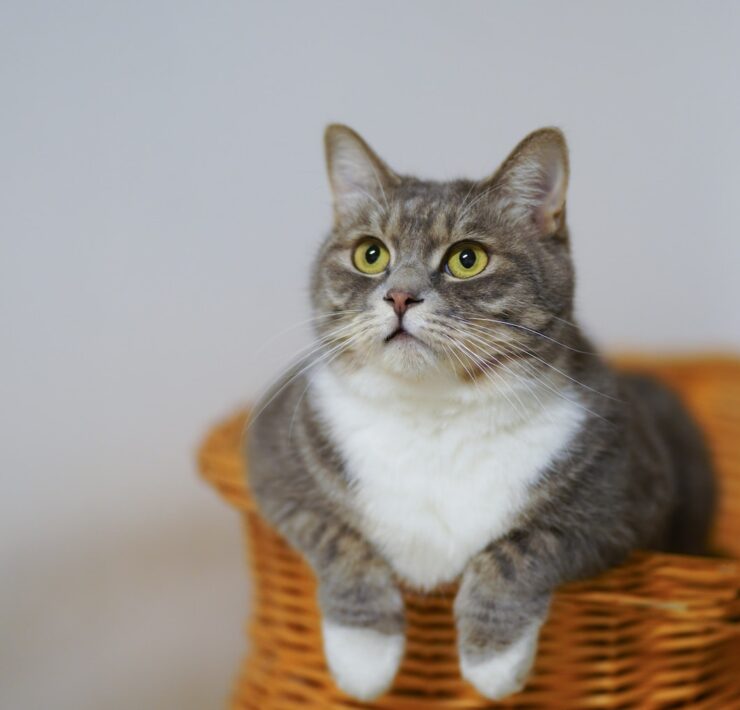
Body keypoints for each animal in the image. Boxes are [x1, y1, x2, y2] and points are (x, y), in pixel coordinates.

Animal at [246, 125, 712, 704]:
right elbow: (336, 536)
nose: (400, 296)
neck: (435, 414)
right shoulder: (274, 460)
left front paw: (493, 660)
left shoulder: (623, 492)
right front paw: (364, 654)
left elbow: (523, 546)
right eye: (370, 254)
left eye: (467, 259)